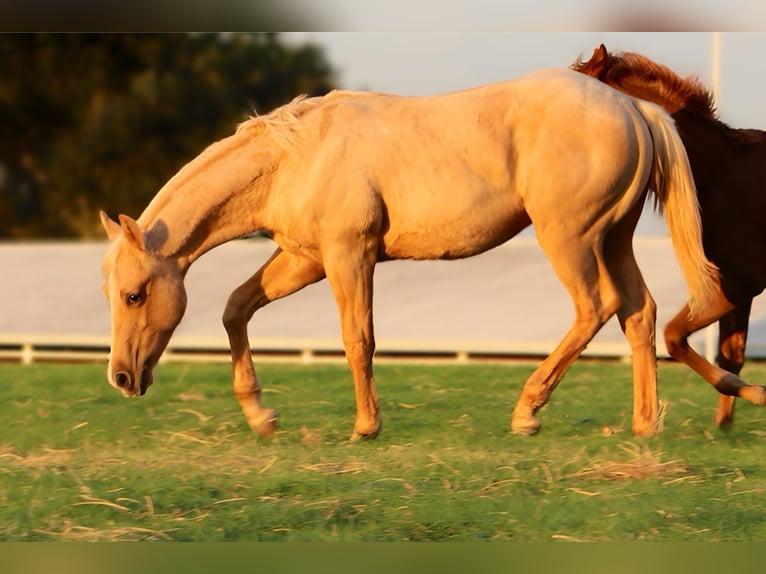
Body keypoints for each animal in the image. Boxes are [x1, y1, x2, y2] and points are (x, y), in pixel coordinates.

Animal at [100, 68, 719, 440]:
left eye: (134, 294)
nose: (122, 378)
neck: (294, 158)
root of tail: (635, 110)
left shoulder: (349, 256)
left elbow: (358, 338)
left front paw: (365, 427)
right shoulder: (305, 260)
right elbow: (236, 308)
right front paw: (261, 416)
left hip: (570, 240)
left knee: (595, 308)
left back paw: (527, 412)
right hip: (614, 239)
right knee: (638, 313)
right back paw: (643, 426)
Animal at [573, 44, 766, 427]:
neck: (721, 175)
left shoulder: (733, 285)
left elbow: (674, 336)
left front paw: (757, 395)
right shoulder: (738, 289)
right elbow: (730, 355)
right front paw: (725, 424)